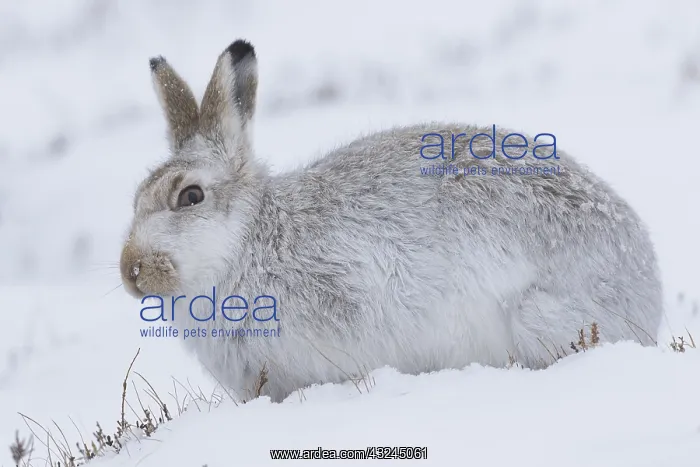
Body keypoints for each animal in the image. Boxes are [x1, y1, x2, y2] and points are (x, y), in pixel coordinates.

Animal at [120, 39, 663, 403]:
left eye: (190, 196)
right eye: (136, 198)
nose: (131, 272)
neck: (247, 242)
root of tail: (646, 283)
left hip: (539, 319)